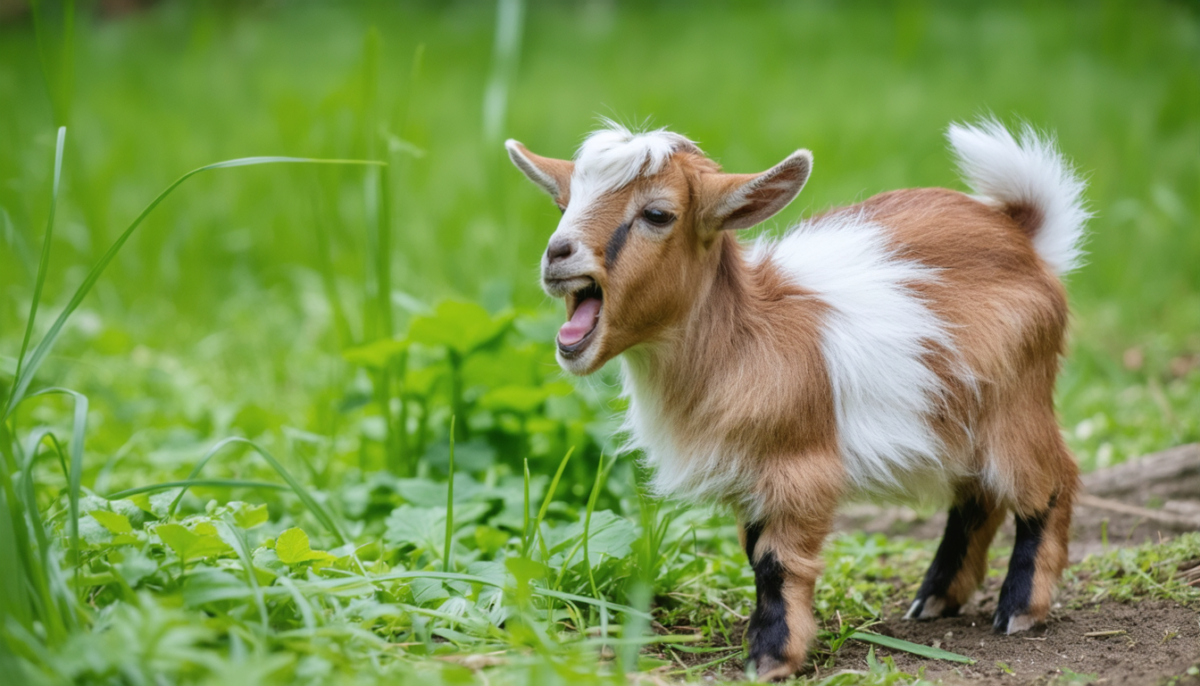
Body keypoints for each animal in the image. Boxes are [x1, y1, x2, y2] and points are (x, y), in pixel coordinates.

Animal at [506, 119, 1088, 680]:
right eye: (564, 204)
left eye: (657, 213)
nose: (557, 253)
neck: (745, 339)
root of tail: (1023, 235)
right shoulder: (750, 477)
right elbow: (753, 553)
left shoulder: (801, 469)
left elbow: (778, 562)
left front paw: (771, 658)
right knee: (978, 497)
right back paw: (934, 599)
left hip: (1017, 400)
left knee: (1049, 483)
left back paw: (1019, 609)